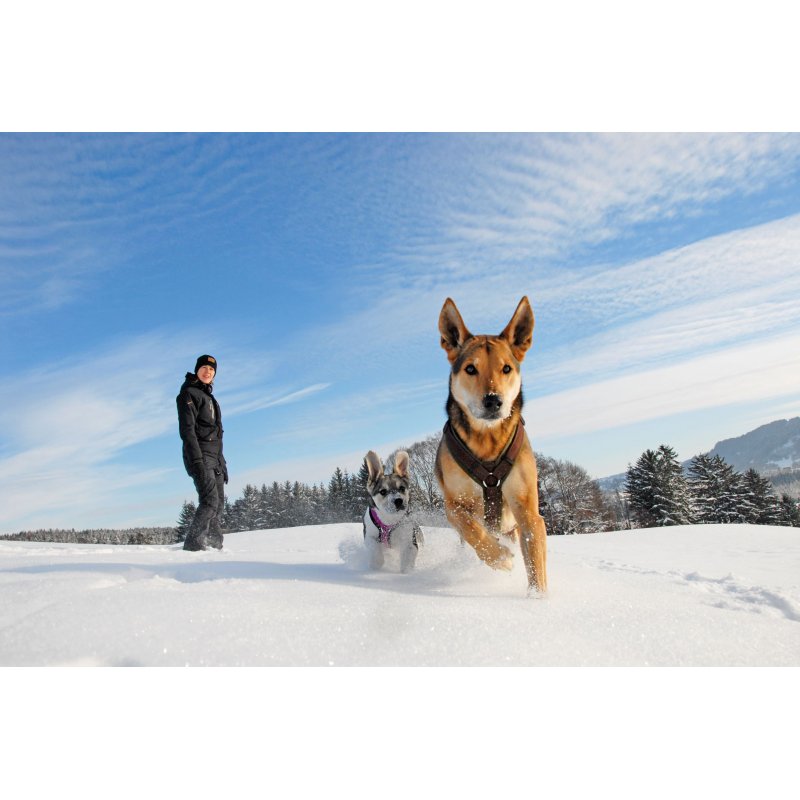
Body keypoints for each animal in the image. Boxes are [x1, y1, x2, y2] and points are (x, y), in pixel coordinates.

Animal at [434, 296, 548, 592]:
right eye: (470, 369)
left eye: (506, 368)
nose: (493, 400)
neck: (487, 439)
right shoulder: (454, 503)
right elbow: (472, 529)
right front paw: (499, 558)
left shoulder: (528, 511)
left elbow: (536, 563)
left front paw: (539, 600)